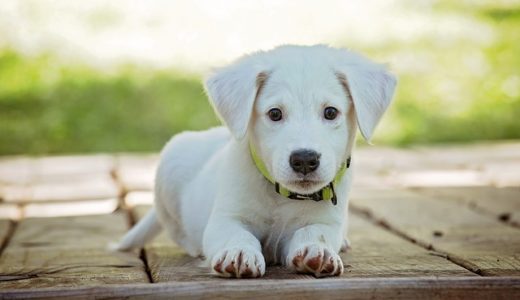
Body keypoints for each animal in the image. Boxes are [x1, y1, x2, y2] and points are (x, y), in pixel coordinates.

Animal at [116, 45, 396, 278]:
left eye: (330, 112)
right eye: (275, 114)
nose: (305, 160)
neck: (281, 196)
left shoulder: (326, 222)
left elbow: (315, 232)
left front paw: (317, 251)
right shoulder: (226, 218)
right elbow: (236, 234)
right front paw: (238, 253)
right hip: (170, 166)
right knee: (177, 231)